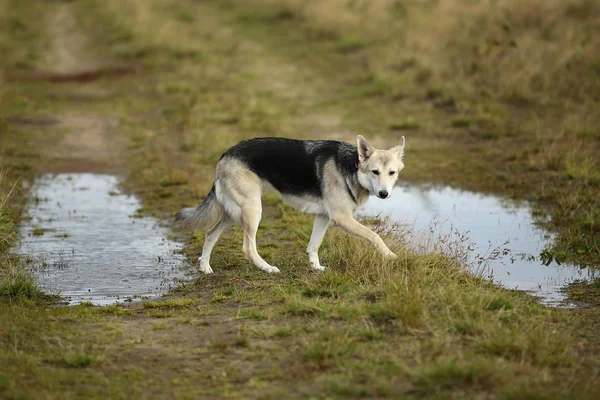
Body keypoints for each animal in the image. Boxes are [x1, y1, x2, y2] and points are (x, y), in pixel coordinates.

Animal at [176, 136, 406, 274]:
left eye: (392, 173)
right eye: (375, 172)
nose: (384, 194)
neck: (352, 166)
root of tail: (226, 154)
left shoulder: (324, 217)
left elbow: (313, 245)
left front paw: (315, 267)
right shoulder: (341, 218)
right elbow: (375, 237)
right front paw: (391, 256)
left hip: (233, 213)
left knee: (210, 234)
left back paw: (205, 267)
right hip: (252, 211)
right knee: (247, 248)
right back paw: (267, 268)